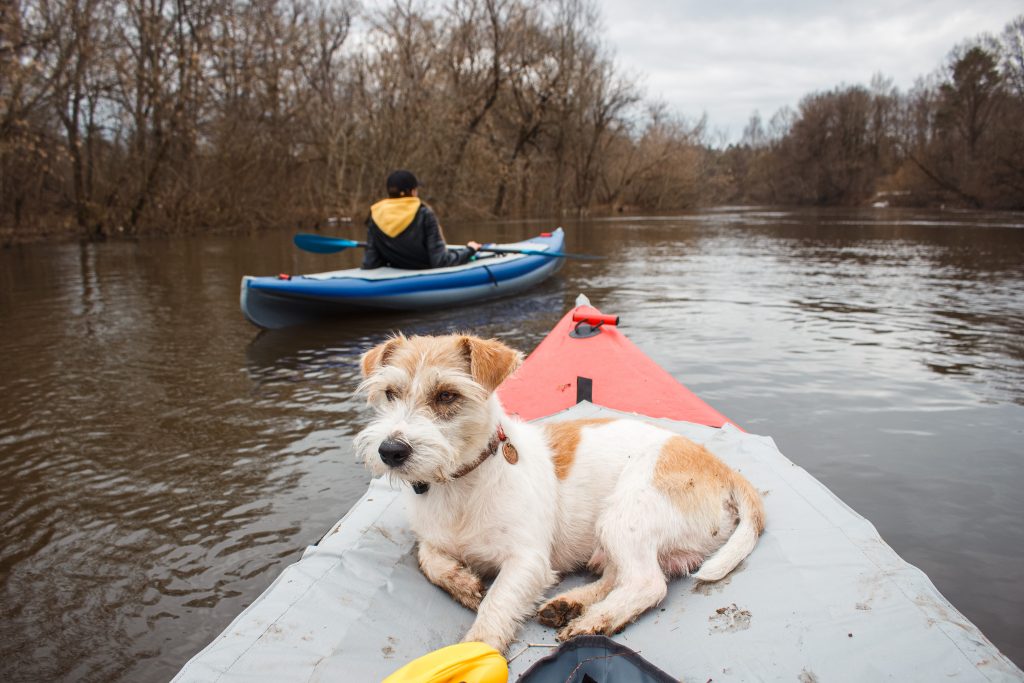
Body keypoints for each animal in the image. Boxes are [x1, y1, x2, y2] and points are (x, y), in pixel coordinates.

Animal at [356, 333, 765, 655]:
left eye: (446, 395)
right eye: (390, 393)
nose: (390, 451)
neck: (458, 484)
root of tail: (723, 468)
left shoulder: (527, 560)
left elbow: (497, 601)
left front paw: (480, 644)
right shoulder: (432, 540)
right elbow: (430, 560)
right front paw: (464, 583)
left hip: (624, 515)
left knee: (646, 584)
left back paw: (596, 619)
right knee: (618, 577)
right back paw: (570, 604)